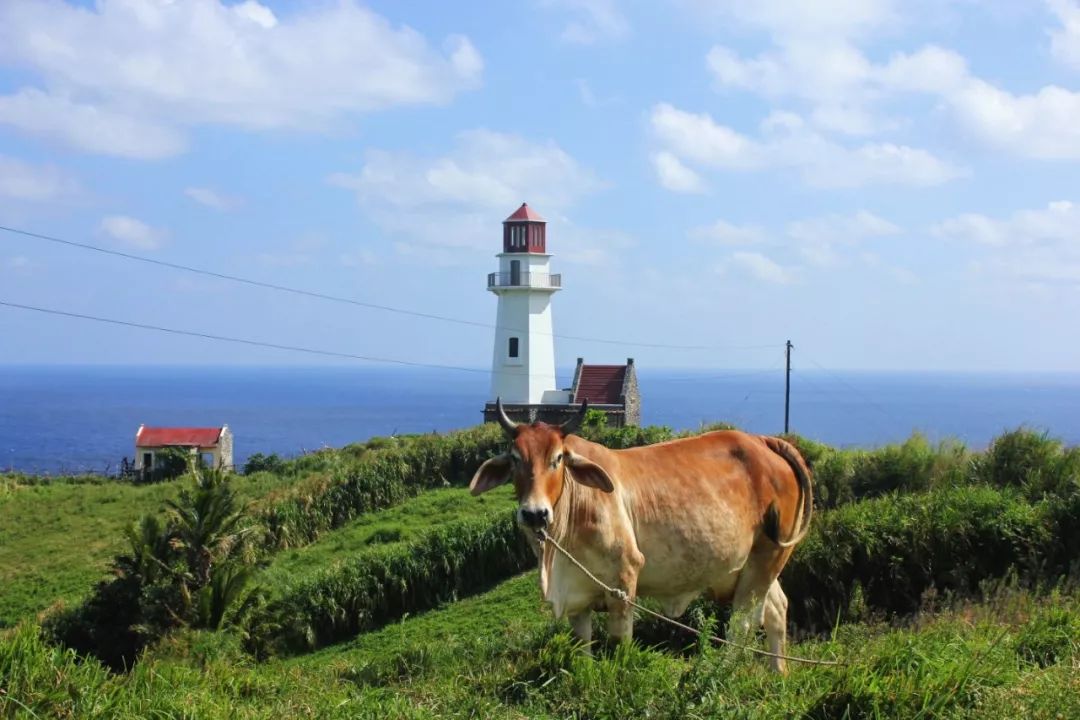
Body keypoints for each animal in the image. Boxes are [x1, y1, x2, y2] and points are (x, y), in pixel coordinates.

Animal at [468, 399, 812, 669]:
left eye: (558, 458)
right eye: (515, 458)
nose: (535, 513)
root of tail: (764, 441)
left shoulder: (624, 579)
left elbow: (620, 645)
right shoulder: (577, 598)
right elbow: (583, 650)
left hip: (767, 558)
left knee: (743, 623)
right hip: (758, 565)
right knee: (776, 610)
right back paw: (778, 675)